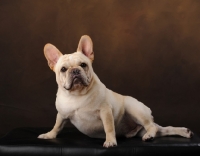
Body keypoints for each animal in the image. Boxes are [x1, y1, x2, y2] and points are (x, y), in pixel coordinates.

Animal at [38, 35, 194, 147]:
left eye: (83, 65)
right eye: (63, 69)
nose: (75, 71)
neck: (77, 95)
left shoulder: (105, 111)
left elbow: (109, 127)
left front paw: (110, 141)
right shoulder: (62, 114)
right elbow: (57, 126)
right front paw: (49, 135)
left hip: (134, 108)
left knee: (152, 127)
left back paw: (149, 135)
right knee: (163, 129)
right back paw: (185, 132)